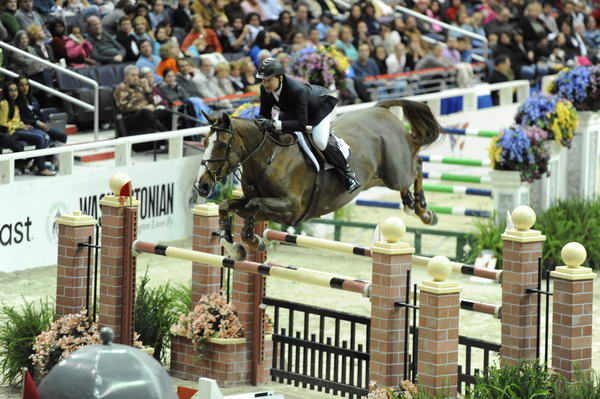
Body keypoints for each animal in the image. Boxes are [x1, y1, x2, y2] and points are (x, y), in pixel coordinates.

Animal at [196, 98, 440, 258]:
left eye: (220, 145)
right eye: (204, 141)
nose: (202, 185)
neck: (268, 158)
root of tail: (379, 108)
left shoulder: (291, 209)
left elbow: (253, 206)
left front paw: (251, 241)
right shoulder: (255, 202)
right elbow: (227, 206)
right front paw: (237, 246)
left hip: (395, 173)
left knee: (417, 164)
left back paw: (425, 212)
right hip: (376, 177)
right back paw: (411, 204)